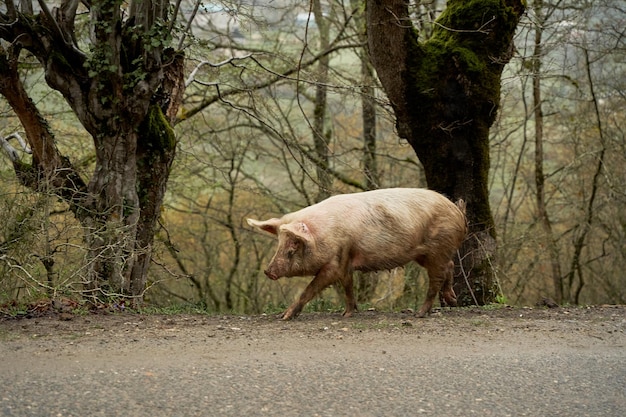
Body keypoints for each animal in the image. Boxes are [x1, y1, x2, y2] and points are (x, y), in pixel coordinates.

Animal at [246, 187, 466, 320]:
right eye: (279, 243)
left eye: (293, 246)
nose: (268, 271)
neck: (325, 234)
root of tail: (457, 210)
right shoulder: (346, 261)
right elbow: (348, 287)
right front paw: (347, 313)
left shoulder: (335, 263)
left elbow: (311, 288)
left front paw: (284, 316)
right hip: (426, 255)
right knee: (450, 266)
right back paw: (452, 301)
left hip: (437, 249)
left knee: (436, 279)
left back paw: (420, 313)